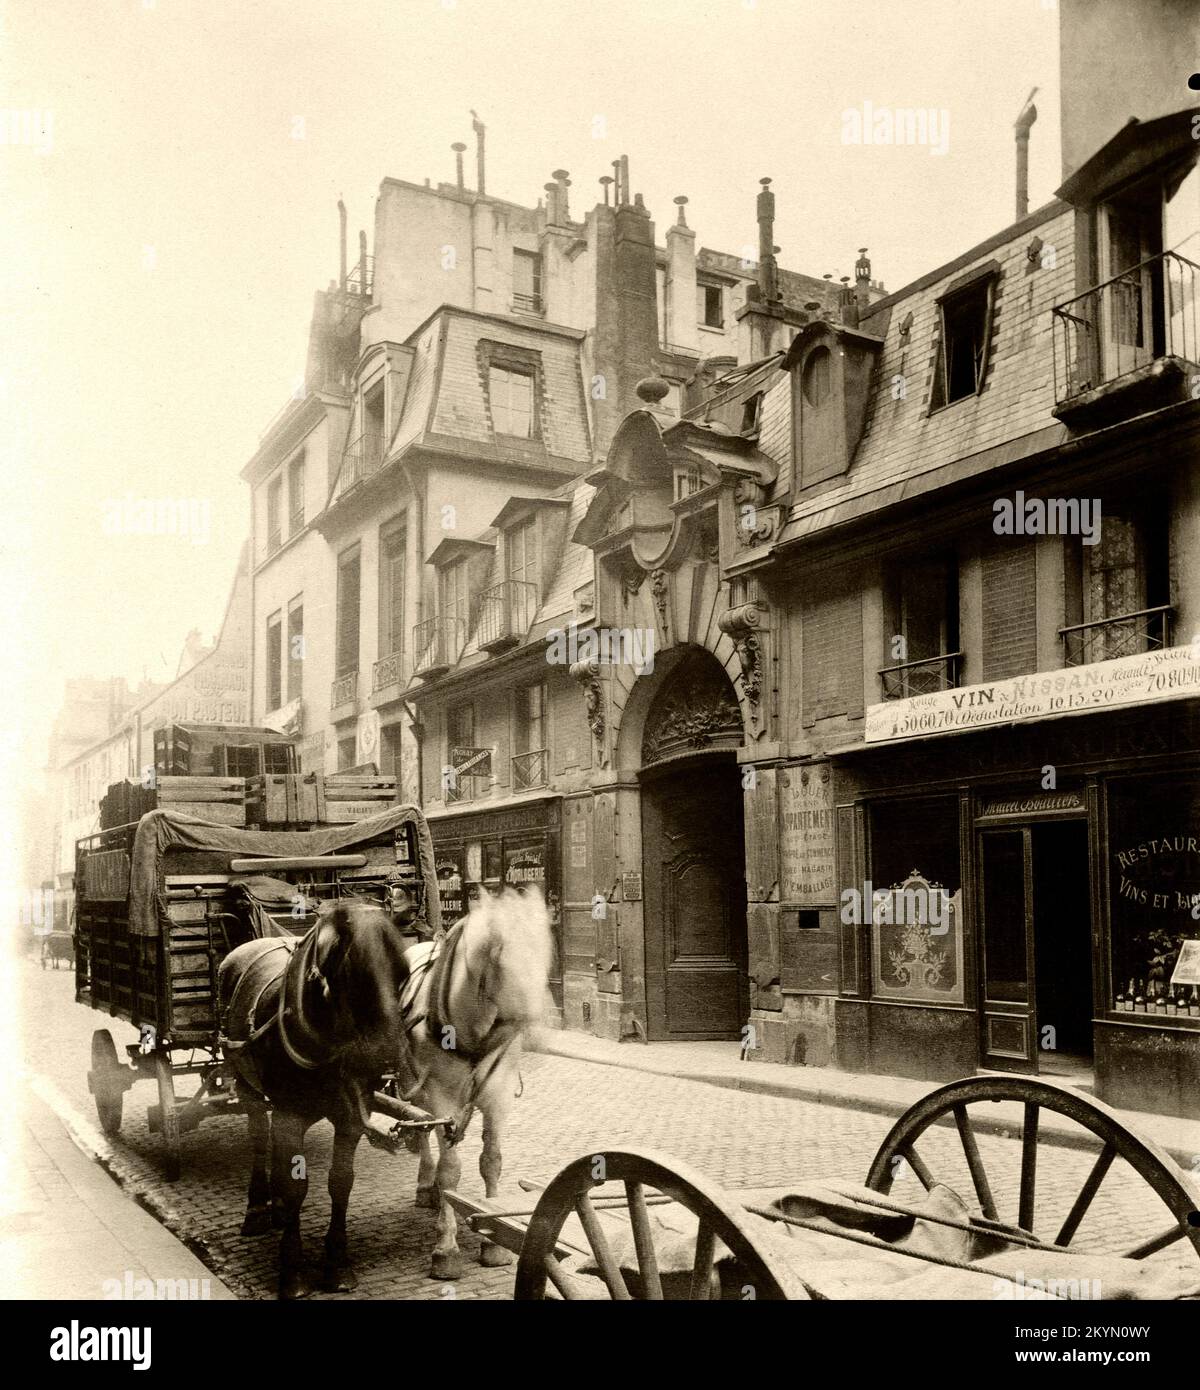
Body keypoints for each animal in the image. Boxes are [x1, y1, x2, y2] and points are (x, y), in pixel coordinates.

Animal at [214, 895, 403, 1295]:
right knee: (259, 1137)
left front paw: (337, 1264)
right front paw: (292, 1272)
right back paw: (257, 1209)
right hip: (247, 1086)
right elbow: (295, 1186)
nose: (388, 1054)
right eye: (355, 970)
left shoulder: (350, 1118)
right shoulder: (291, 1115)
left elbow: (341, 1182)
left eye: (401, 970)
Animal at [400, 889, 556, 1278]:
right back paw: (426, 1185)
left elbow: (492, 1161)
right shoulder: (441, 1097)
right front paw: (446, 1249)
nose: (541, 1020)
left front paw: (492, 1239)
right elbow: (450, 1171)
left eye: (547, 947)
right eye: (501, 954)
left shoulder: (498, 1096)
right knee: (422, 1130)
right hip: (414, 1082)